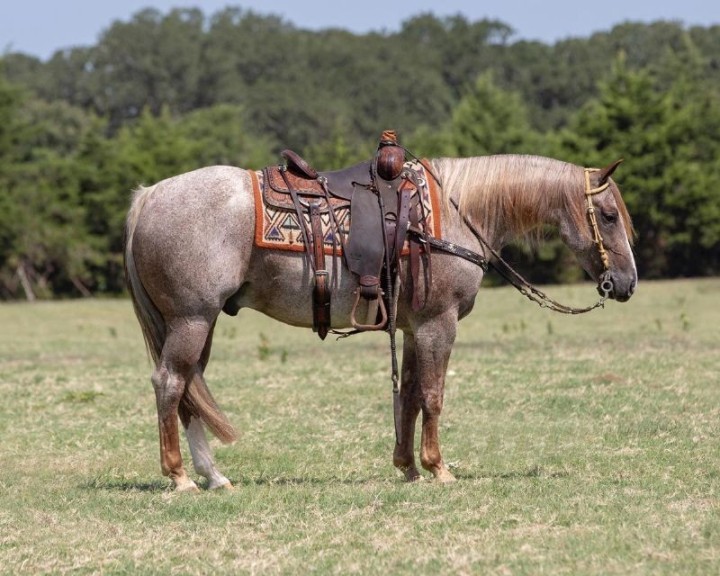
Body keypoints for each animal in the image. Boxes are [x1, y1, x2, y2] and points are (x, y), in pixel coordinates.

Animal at [124, 153, 637, 492]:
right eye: (609, 215)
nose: (626, 283)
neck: (454, 213)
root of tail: (149, 196)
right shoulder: (437, 324)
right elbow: (433, 395)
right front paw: (439, 468)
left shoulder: (412, 328)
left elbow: (408, 395)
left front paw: (407, 466)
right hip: (191, 319)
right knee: (170, 383)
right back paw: (180, 477)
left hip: (196, 322)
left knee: (190, 388)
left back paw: (213, 475)